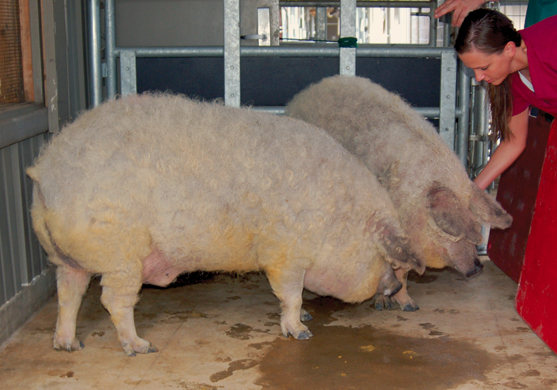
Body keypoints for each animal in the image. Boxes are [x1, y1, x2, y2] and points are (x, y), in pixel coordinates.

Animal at [26, 92, 424, 356]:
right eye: (386, 260)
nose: (393, 288)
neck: (337, 217)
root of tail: (45, 172)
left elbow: (295, 297)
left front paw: (308, 317)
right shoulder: (284, 252)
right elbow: (290, 294)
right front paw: (301, 332)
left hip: (64, 257)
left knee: (69, 295)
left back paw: (68, 345)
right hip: (119, 254)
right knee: (112, 299)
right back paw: (141, 347)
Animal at [286, 75, 512, 310]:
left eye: (476, 224)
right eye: (455, 232)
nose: (478, 266)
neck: (414, 202)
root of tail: (307, 91)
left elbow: (403, 273)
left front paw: (410, 306)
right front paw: (386, 304)